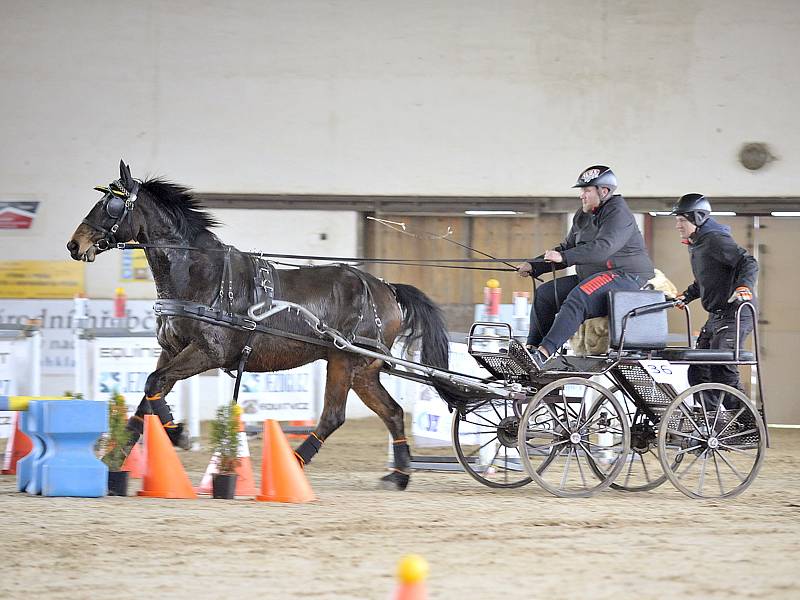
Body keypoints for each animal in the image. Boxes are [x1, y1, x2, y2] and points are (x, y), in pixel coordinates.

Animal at [68, 162, 450, 490]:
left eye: (111, 205)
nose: (75, 244)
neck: (200, 275)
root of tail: (385, 287)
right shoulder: (171, 350)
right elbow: (148, 396)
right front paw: (113, 461)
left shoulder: (207, 352)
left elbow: (153, 385)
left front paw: (178, 434)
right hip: (363, 370)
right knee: (392, 412)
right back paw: (398, 475)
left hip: (344, 361)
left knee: (333, 416)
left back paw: (293, 464)